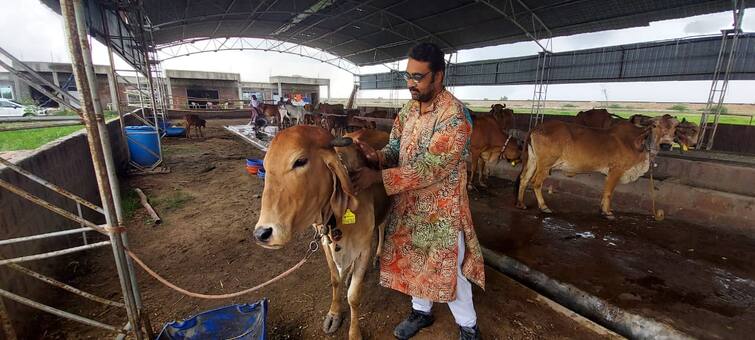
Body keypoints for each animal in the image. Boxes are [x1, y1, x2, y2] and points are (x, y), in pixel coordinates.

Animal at [254, 126, 390, 338]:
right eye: (266, 166)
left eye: (300, 161)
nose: (262, 233)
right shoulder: (326, 243)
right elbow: (335, 280)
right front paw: (334, 314)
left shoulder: (363, 248)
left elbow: (354, 296)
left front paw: (354, 333)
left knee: (382, 227)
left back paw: (378, 255)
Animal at [516, 115, 684, 219]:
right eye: (655, 125)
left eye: (675, 127)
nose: (666, 144)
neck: (639, 144)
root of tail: (537, 127)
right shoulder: (617, 169)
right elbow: (609, 192)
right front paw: (607, 212)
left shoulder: (609, 172)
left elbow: (605, 191)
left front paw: (602, 209)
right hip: (545, 164)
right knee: (536, 183)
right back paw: (543, 206)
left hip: (533, 160)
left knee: (524, 179)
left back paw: (521, 204)